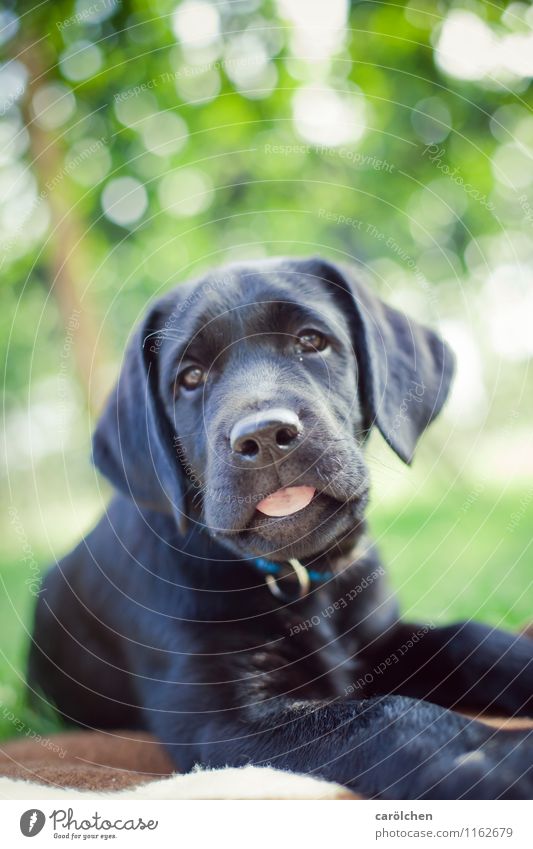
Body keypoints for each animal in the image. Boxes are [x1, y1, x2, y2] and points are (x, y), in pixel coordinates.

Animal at [29, 255, 532, 800]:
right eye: (190, 376)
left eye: (311, 340)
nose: (265, 436)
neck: (301, 579)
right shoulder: (220, 721)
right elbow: (388, 718)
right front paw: (508, 762)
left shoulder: (383, 642)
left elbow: (472, 637)